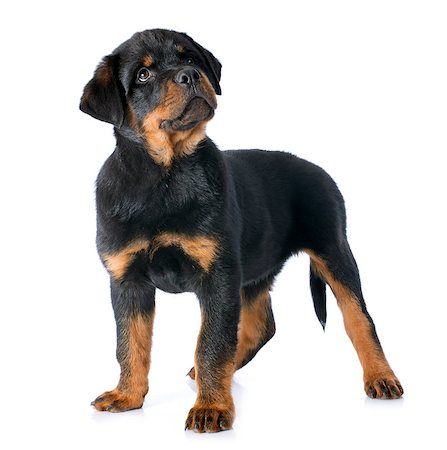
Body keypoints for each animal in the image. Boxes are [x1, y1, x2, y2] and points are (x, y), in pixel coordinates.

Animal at [80, 28, 406, 432]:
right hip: (255, 269)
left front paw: (211, 409)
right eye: (143, 75)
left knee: (359, 318)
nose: (190, 76)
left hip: (333, 248)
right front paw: (127, 396)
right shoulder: (127, 280)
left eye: (191, 59)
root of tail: (320, 171)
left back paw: (381, 377)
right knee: (260, 326)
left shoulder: (218, 275)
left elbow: (211, 343)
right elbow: (130, 344)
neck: (164, 177)